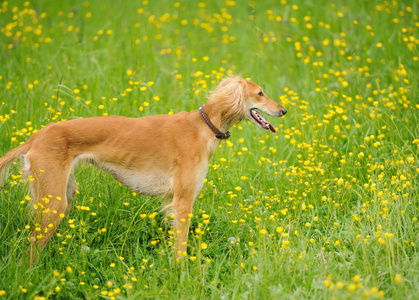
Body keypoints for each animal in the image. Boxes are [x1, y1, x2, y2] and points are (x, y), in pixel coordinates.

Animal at [0, 76, 288, 264]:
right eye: (260, 93)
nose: (284, 110)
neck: (204, 126)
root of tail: (35, 138)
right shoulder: (182, 202)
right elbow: (181, 249)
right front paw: (181, 276)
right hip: (54, 201)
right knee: (30, 251)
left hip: (63, 194)